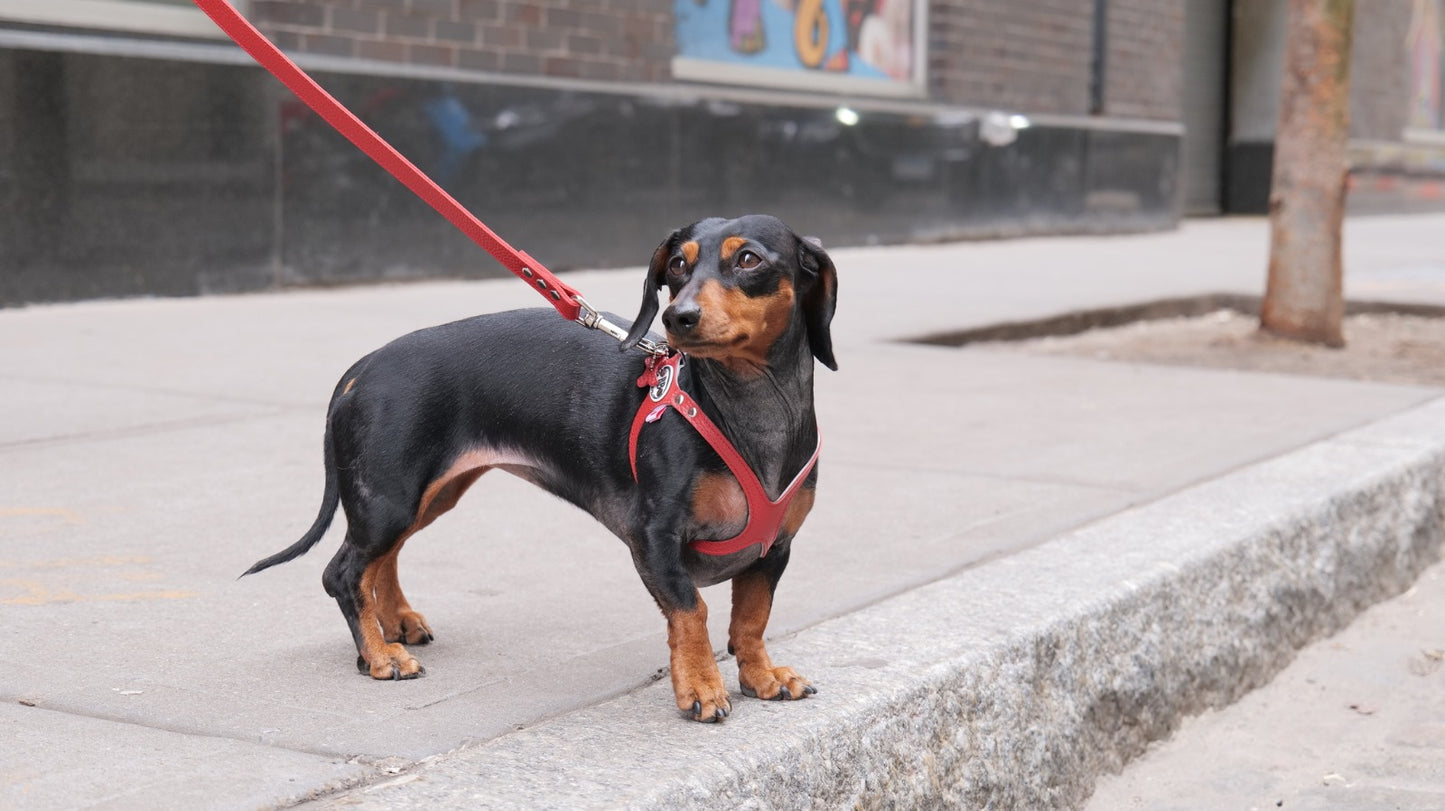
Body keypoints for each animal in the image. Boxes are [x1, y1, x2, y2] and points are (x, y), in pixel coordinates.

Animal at [247, 215, 838, 719]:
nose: (678, 318)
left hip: (424, 496)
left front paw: (761, 677)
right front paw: (701, 688)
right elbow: (693, 613)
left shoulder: (775, 547)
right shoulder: (653, 539)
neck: (745, 406)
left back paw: (393, 626)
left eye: (748, 259)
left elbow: (752, 620)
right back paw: (379, 656)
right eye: (677, 265)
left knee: (381, 559)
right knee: (343, 572)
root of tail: (363, 367)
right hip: (389, 498)